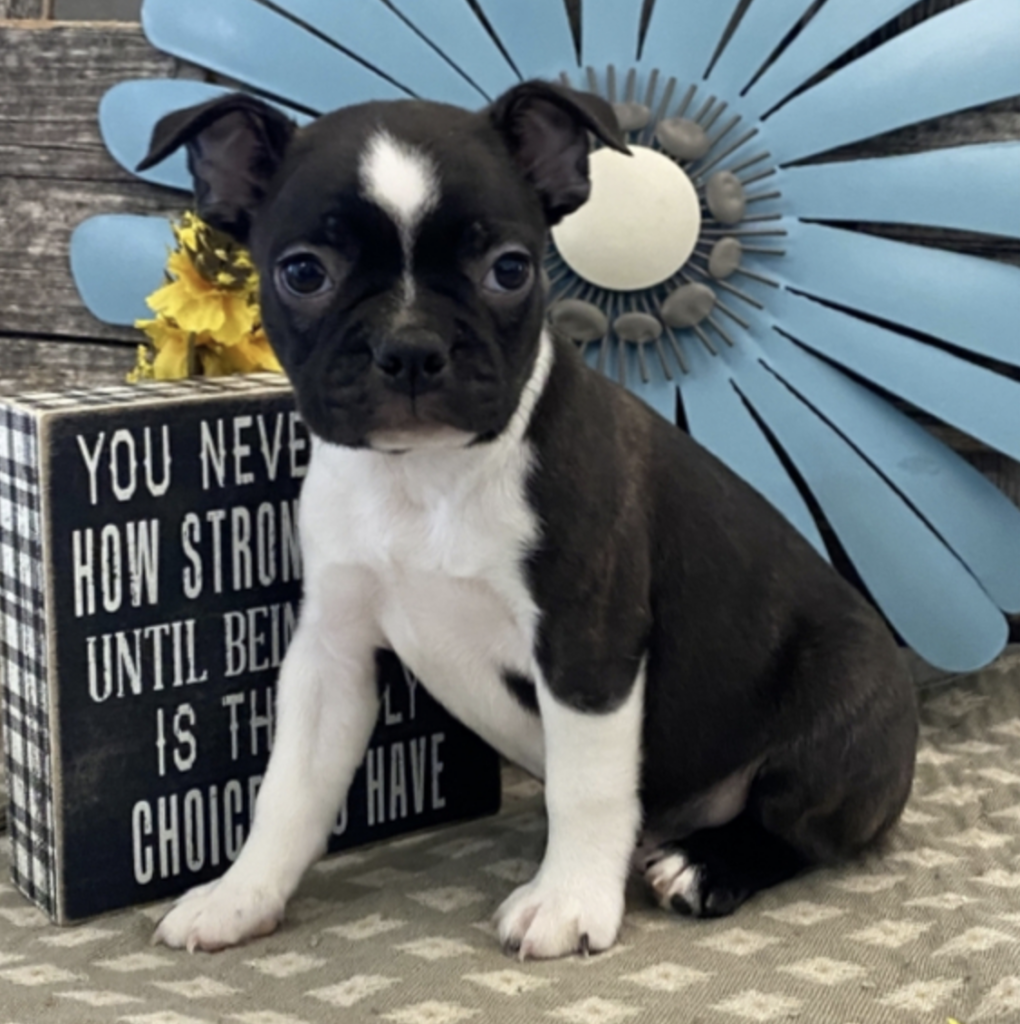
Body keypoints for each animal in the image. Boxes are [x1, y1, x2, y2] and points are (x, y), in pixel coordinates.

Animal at [138, 81, 918, 959]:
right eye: (303, 272)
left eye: (508, 270)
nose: (411, 347)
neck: (426, 476)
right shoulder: (332, 652)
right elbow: (289, 787)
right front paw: (241, 895)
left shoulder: (586, 641)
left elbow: (586, 784)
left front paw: (568, 902)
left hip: (843, 710)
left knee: (797, 827)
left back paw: (705, 866)